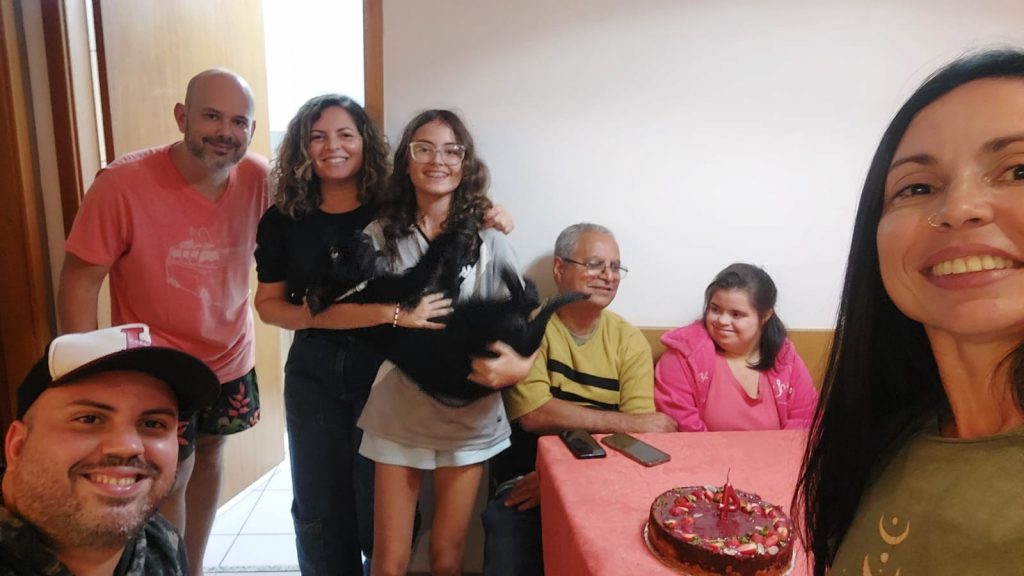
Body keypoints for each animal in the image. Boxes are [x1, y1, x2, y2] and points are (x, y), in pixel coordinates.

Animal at [305, 230, 587, 406]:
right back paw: (513, 277)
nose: (359, 234)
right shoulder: (417, 289)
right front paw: (453, 236)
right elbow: (432, 262)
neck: (352, 293)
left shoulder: (441, 295)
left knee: (527, 303)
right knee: (528, 303)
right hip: (484, 317)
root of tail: (528, 342)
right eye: (335, 253)